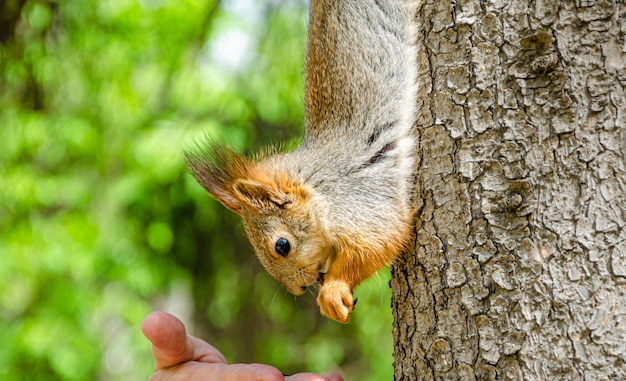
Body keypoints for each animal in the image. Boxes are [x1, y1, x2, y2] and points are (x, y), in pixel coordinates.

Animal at [186, 0, 420, 324]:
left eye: (282, 246)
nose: (300, 288)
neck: (317, 186)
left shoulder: (360, 199)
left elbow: (382, 239)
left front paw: (333, 290)